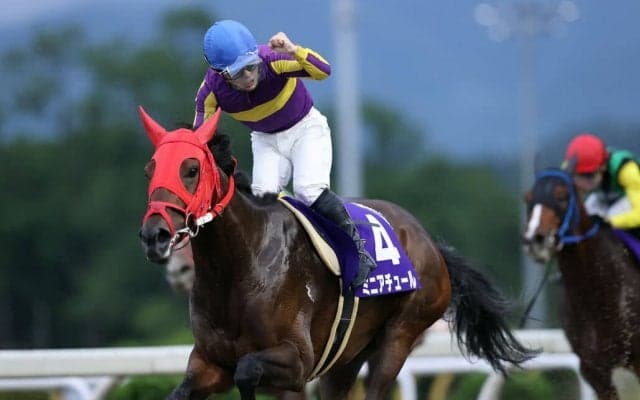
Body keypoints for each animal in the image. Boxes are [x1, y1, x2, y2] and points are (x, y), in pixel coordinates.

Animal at [137, 106, 536, 400]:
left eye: (191, 169)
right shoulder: (208, 363)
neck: (238, 267)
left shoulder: (297, 363)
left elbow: (247, 371)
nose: (154, 236)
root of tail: (429, 241)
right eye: (149, 169)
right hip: (348, 355)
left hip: (401, 334)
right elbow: (185, 391)